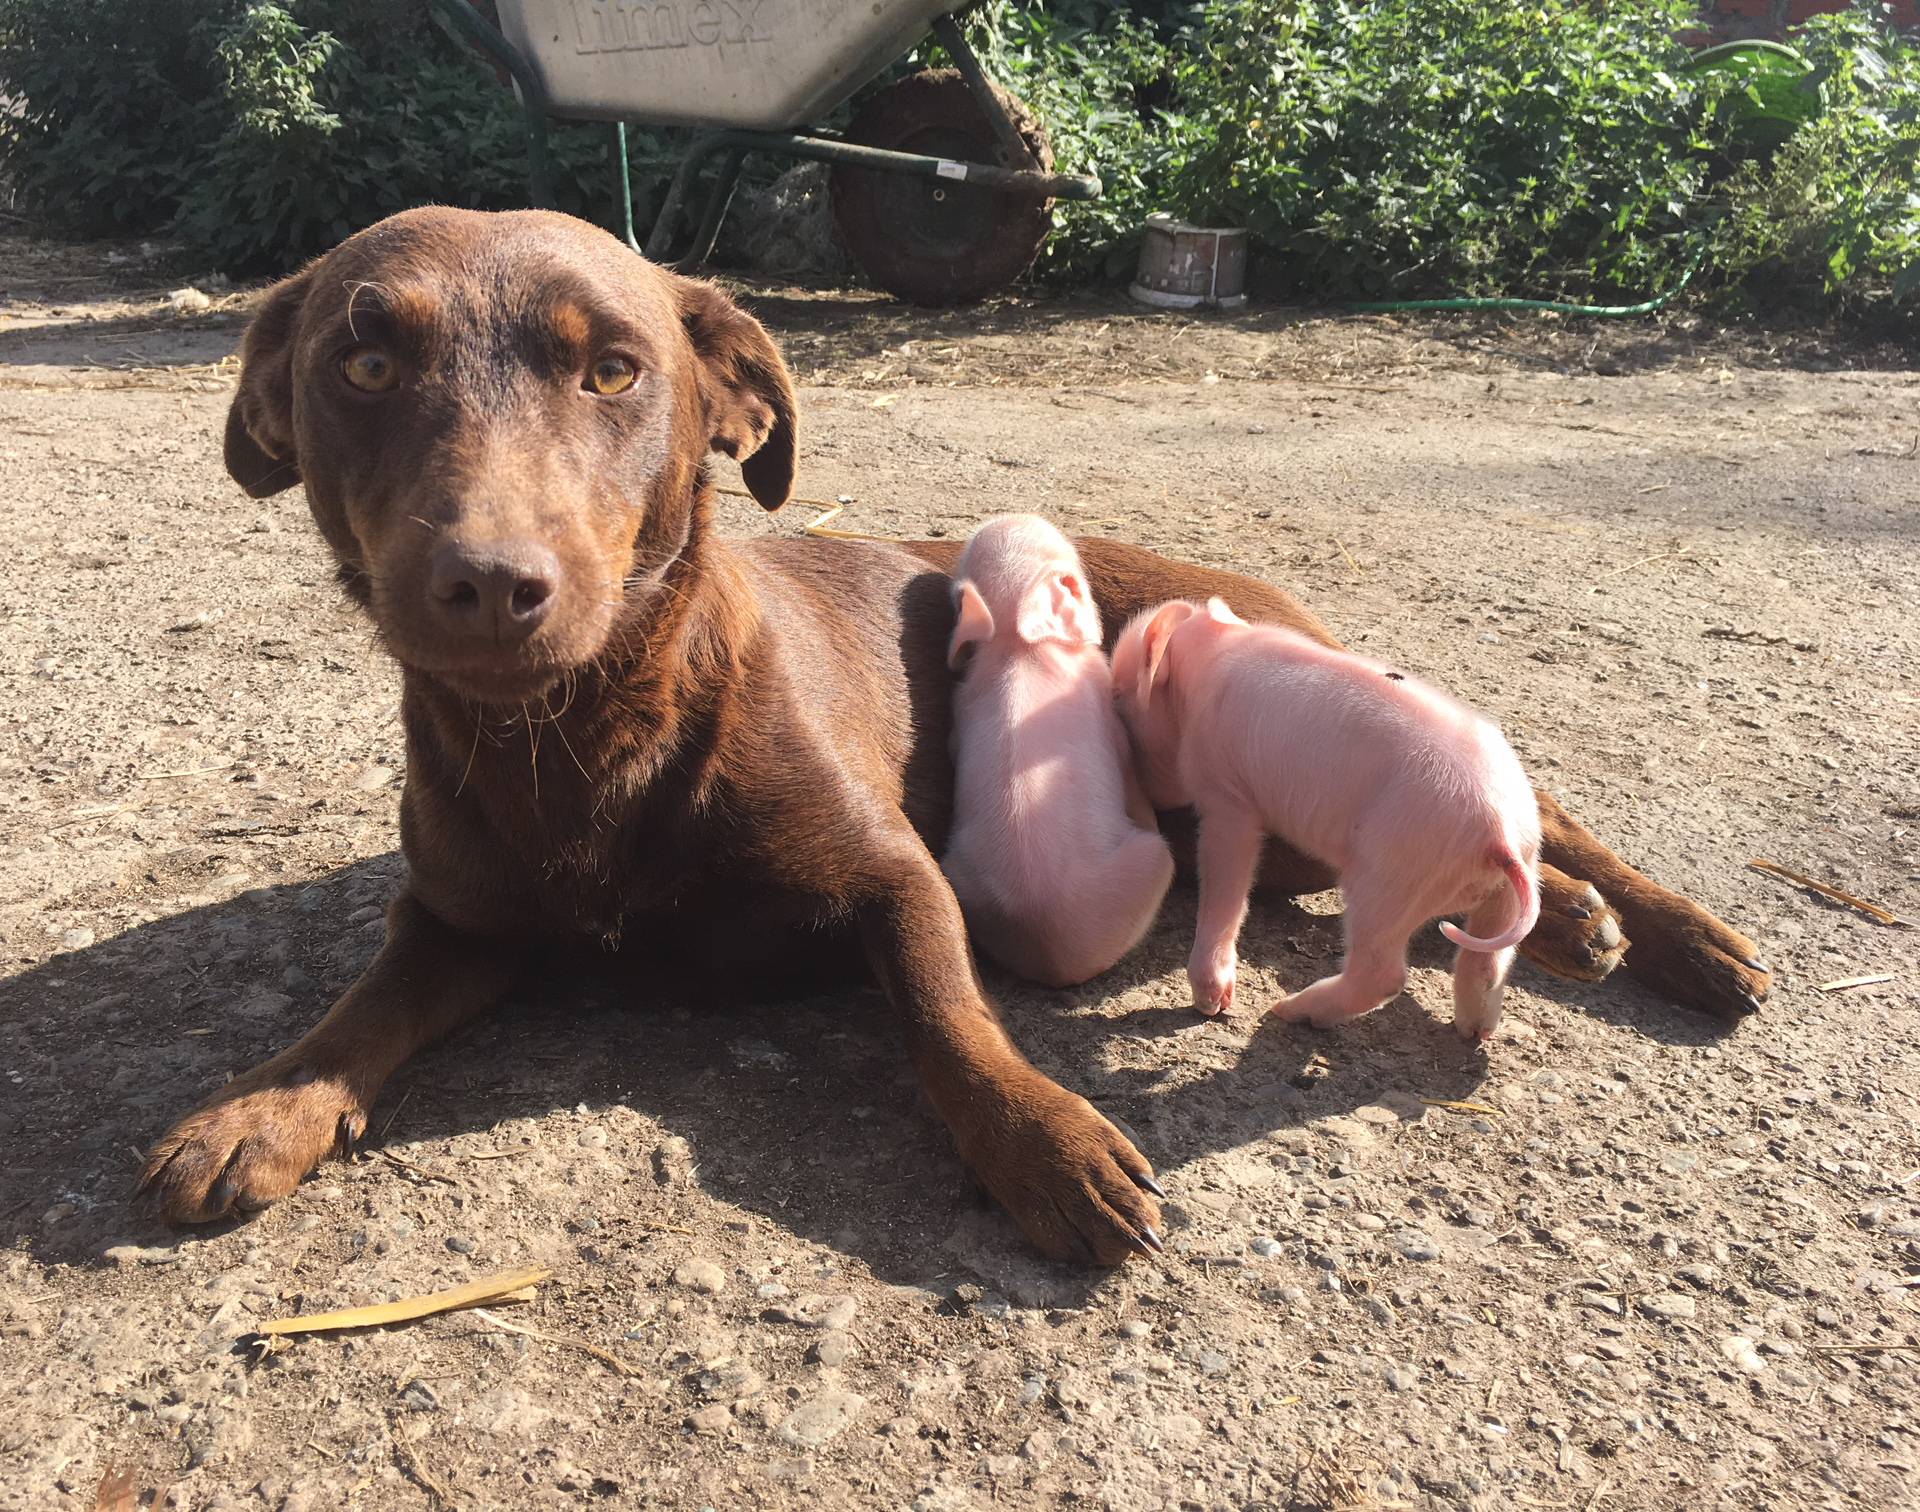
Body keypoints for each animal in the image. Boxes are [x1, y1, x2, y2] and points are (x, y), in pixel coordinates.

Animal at [139, 203, 1766, 1266]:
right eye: (362, 364)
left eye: (612, 369)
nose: (488, 582)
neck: (586, 736)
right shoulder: (457, 924)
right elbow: (364, 1005)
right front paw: (268, 1099)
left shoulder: (893, 878)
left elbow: (947, 1019)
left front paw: (1042, 1140)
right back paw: (1565, 928)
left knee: (1553, 815)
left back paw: (1669, 933)